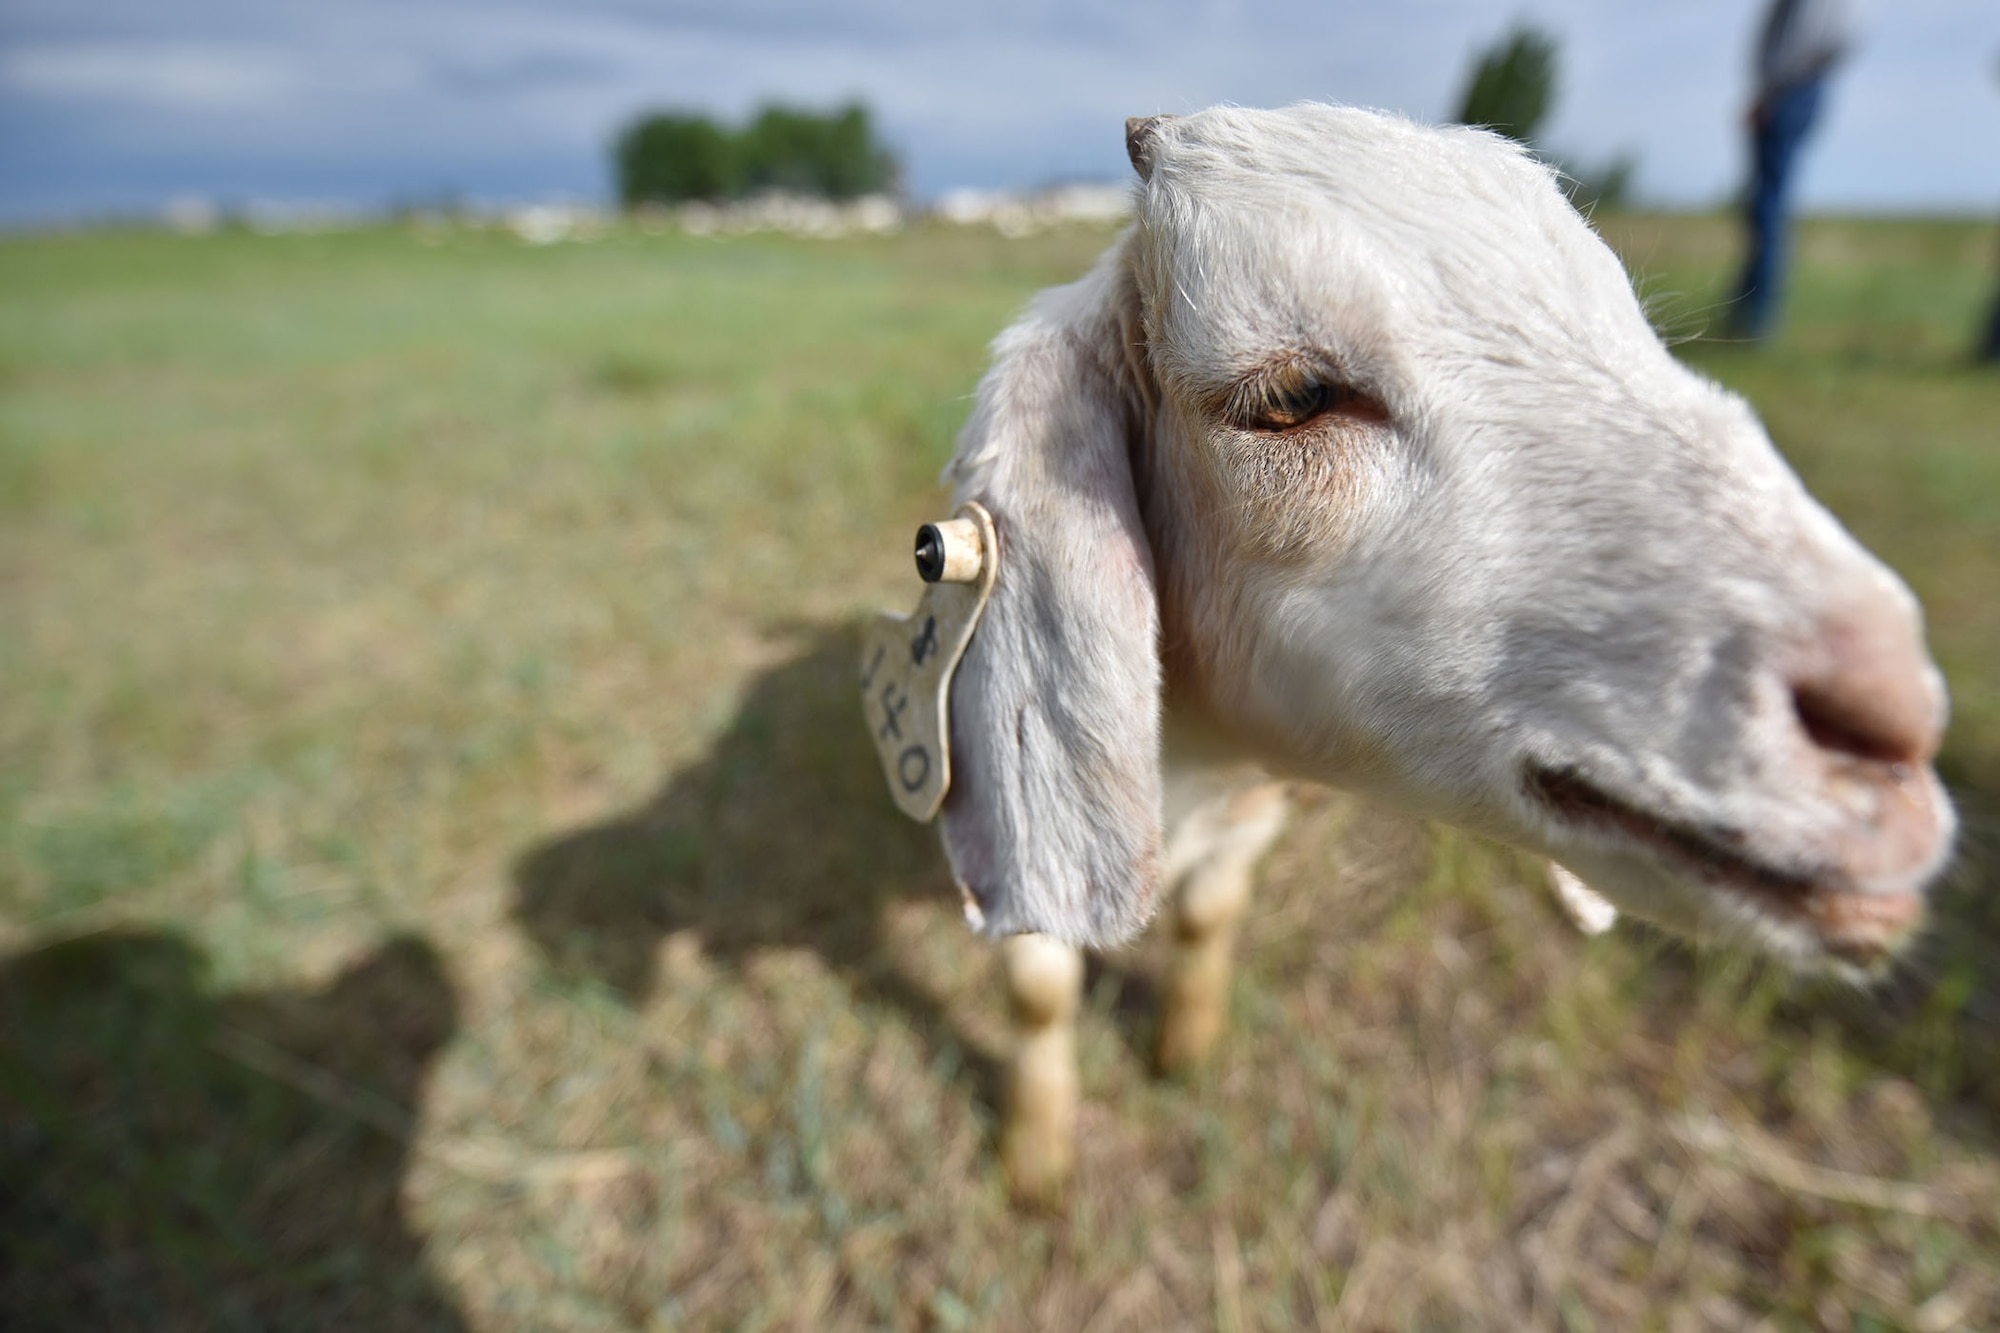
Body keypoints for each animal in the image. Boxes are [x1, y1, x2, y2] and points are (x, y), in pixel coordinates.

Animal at [932, 109, 1952, 1200]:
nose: (1895, 732)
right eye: (1291, 395)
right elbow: (1041, 987)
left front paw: (1184, 1050)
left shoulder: (1253, 807)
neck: (1197, 778)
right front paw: (1035, 1162)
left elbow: (1209, 918)